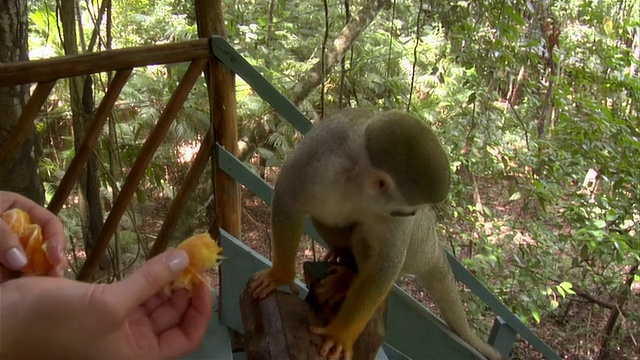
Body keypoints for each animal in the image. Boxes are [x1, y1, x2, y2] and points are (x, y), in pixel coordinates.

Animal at [250, 109, 504, 360]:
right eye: (404, 211)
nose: (412, 215)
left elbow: (386, 260)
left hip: (416, 242)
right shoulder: (320, 161)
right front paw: (280, 275)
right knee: (328, 215)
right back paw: (342, 255)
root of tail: (432, 245)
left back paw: (347, 278)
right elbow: (289, 199)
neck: (359, 177)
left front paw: (339, 335)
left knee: (364, 237)